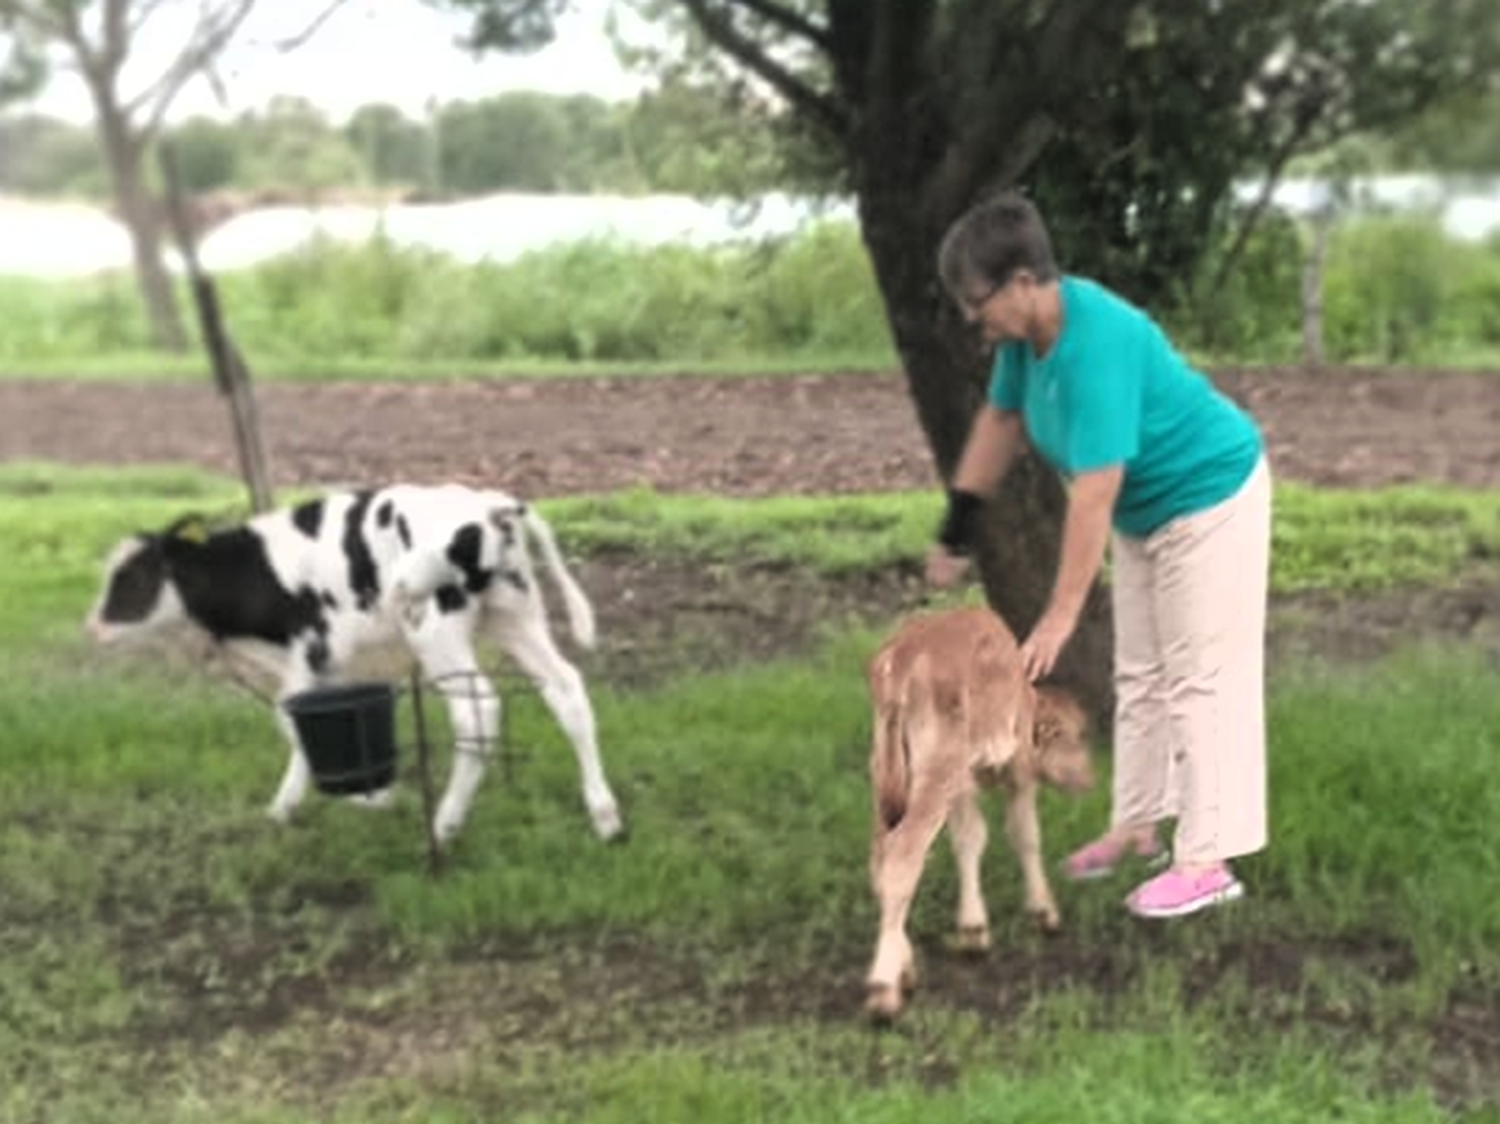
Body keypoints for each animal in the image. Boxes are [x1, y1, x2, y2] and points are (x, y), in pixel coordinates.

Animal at [87, 483, 621, 840]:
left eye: (133, 577)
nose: (91, 627)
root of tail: (490, 505)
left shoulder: (309, 653)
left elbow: (291, 724)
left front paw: (307, 804)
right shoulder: (332, 668)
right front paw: (370, 793)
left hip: (435, 630)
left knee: (479, 711)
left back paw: (445, 823)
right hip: (515, 618)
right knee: (567, 689)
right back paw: (605, 815)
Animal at [870, 609, 1092, 1020]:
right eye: (1077, 736)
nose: (1090, 779)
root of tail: (902, 655)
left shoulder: (962, 782)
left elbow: (969, 837)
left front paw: (973, 927)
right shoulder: (1017, 768)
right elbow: (1023, 834)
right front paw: (1042, 912)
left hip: (886, 777)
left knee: (879, 856)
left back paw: (903, 967)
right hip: (934, 775)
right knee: (902, 855)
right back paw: (883, 990)